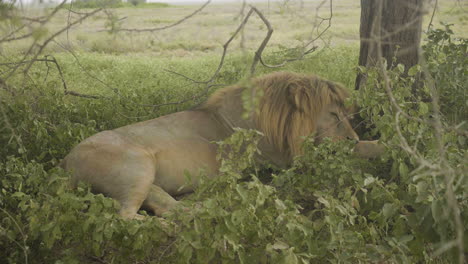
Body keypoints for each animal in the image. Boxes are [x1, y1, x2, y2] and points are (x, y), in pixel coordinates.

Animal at [61, 71, 384, 220]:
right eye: (334, 115)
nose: (353, 136)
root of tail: (65, 164)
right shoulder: (287, 161)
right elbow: (357, 150)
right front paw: (383, 144)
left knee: (167, 205)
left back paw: (204, 203)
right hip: (137, 165)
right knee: (125, 218)